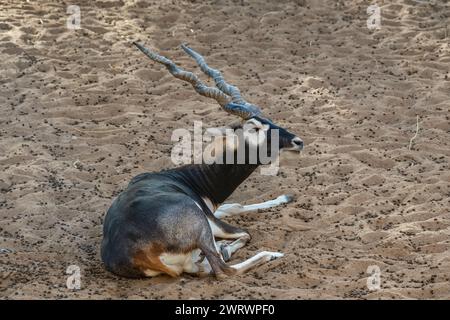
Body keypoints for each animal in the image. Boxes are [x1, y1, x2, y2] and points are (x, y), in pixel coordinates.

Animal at [100, 42, 304, 278]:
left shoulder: (214, 210)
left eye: (268, 120)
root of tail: (140, 253)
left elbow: (235, 206)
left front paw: (285, 197)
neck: (190, 178)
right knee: (223, 268)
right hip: (203, 225)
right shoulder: (210, 217)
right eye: (254, 127)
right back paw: (266, 254)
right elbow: (243, 227)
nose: (298, 141)